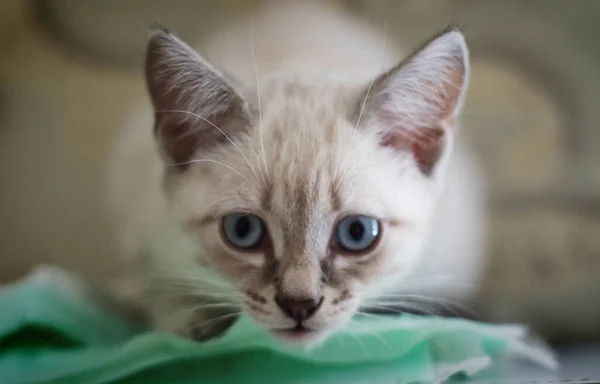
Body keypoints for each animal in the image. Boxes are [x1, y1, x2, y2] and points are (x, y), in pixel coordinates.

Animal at [105, 0, 486, 344]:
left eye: (357, 232)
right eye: (242, 230)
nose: (299, 305)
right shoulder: (145, 218)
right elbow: (158, 282)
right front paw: (187, 320)